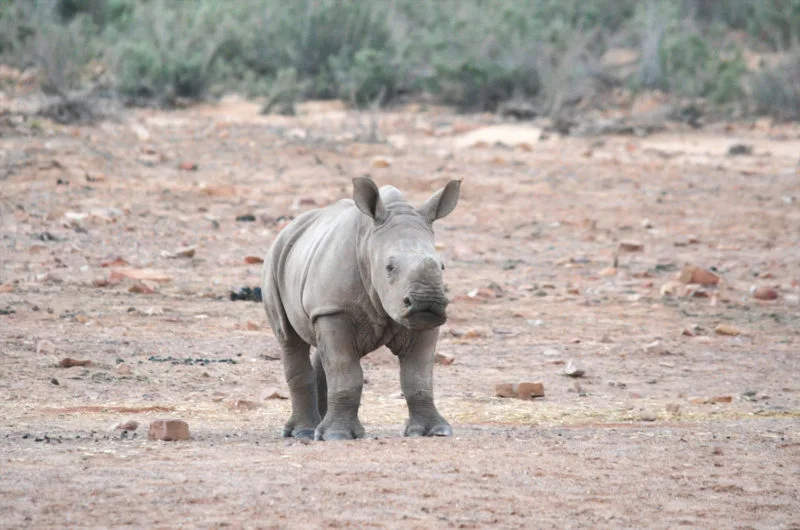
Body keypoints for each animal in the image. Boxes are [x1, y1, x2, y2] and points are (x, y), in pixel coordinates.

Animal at [262, 177, 460, 438]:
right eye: (389, 267)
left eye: (442, 266)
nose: (427, 301)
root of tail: (290, 227)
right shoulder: (334, 308)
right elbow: (346, 372)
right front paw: (338, 435)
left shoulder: (424, 321)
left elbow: (417, 377)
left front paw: (434, 430)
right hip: (276, 259)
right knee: (289, 339)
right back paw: (304, 432)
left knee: (324, 350)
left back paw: (317, 428)